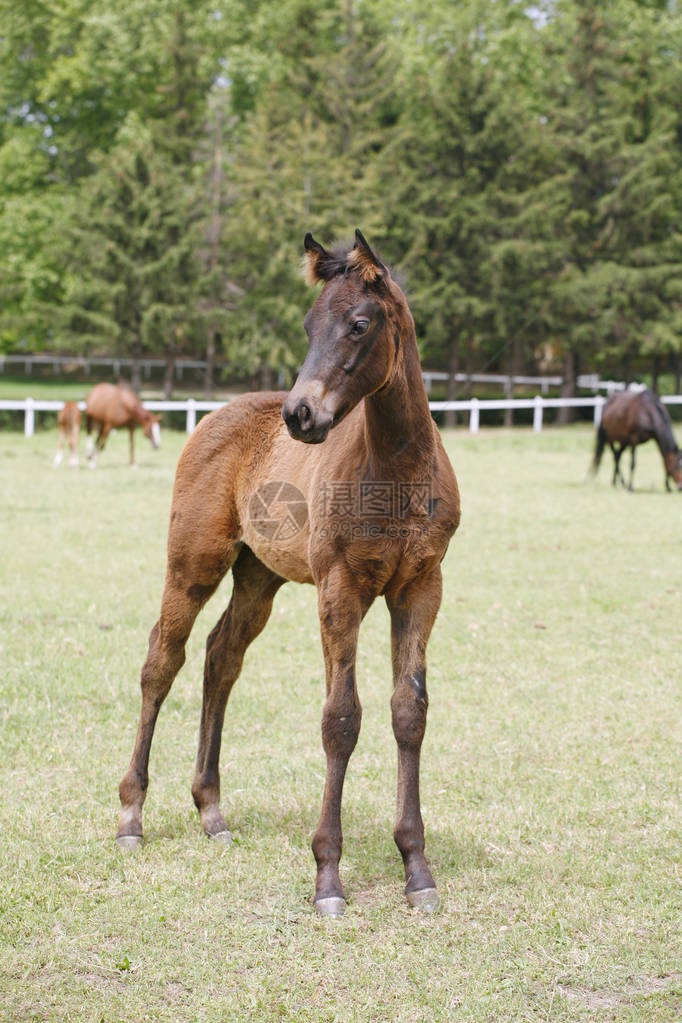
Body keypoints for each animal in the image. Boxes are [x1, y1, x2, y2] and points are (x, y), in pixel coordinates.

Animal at [117, 234, 462, 920]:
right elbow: (341, 719)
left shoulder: (420, 588)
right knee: (161, 662)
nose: (300, 415)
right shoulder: (341, 589)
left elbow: (408, 711)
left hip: (259, 578)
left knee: (221, 657)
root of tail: (212, 417)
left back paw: (212, 812)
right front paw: (328, 877)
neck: (397, 469)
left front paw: (417, 869)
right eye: (308, 325)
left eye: (359, 324)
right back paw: (131, 816)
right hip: (192, 566)